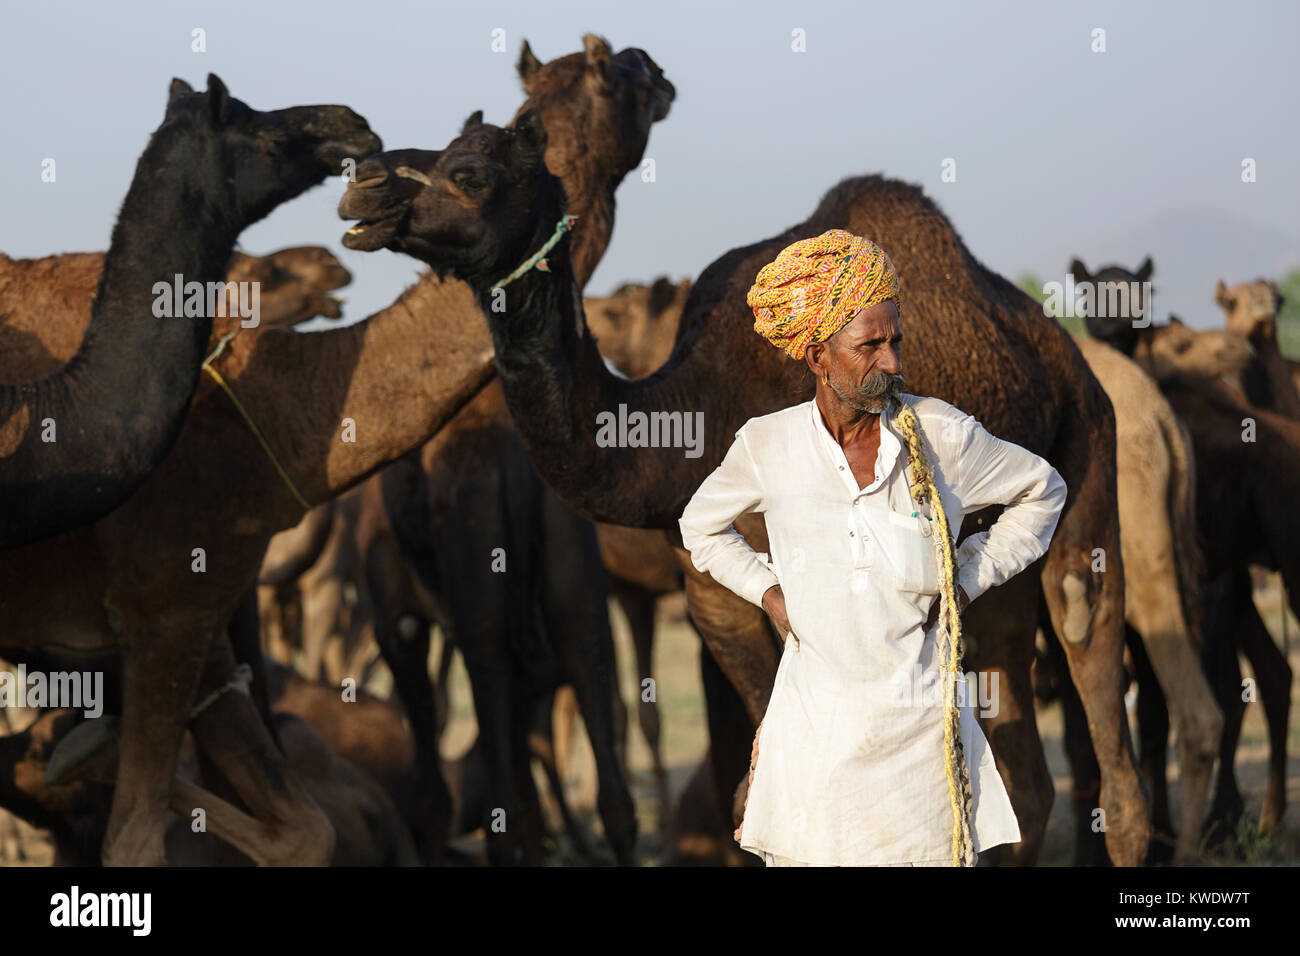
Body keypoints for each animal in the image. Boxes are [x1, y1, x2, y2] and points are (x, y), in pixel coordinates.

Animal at [343, 115, 1149, 863]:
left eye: (471, 173)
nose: (365, 188)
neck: (693, 411)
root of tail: (1059, 348)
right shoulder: (715, 597)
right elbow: (759, 791)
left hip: (1089, 439)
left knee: (1087, 648)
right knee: (1023, 777)